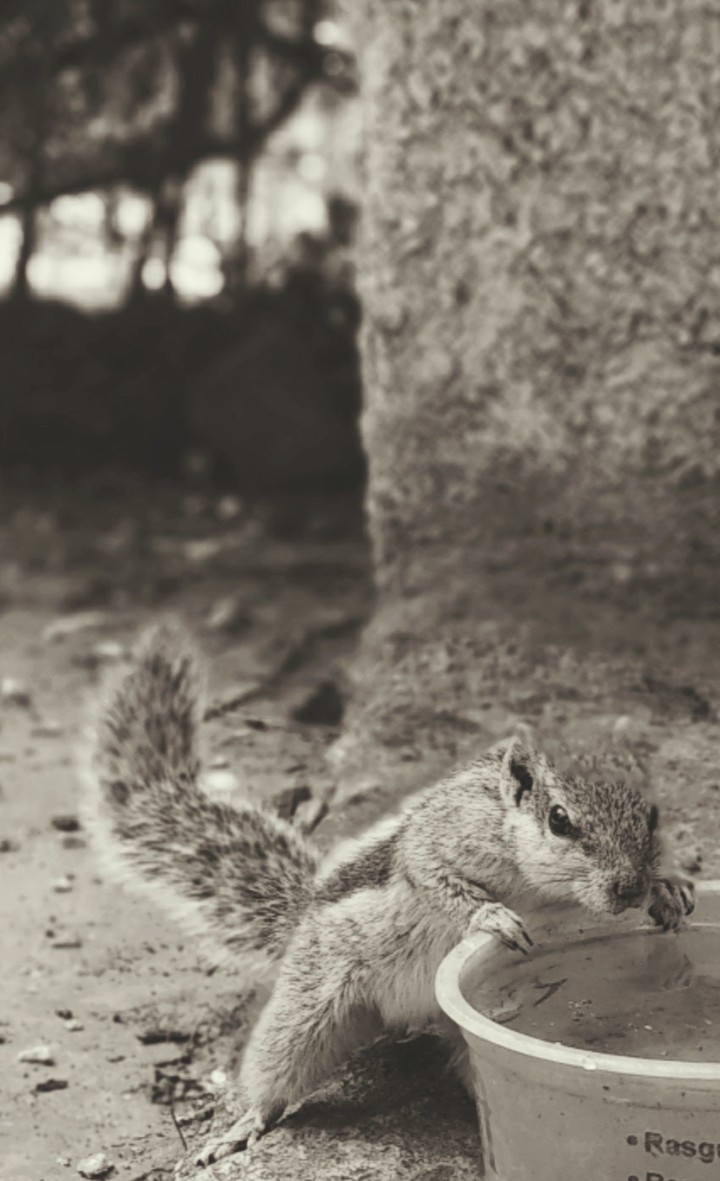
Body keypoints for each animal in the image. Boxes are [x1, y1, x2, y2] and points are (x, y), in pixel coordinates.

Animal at [82, 624, 695, 1168]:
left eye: (654, 814)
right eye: (560, 820)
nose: (629, 887)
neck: (542, 885)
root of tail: (301, 917)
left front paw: (669, 889)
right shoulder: (445, 836)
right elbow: (432, 873)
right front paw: (492, 917)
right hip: (312, 1004)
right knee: (277, 1068)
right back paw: (245, 1123)